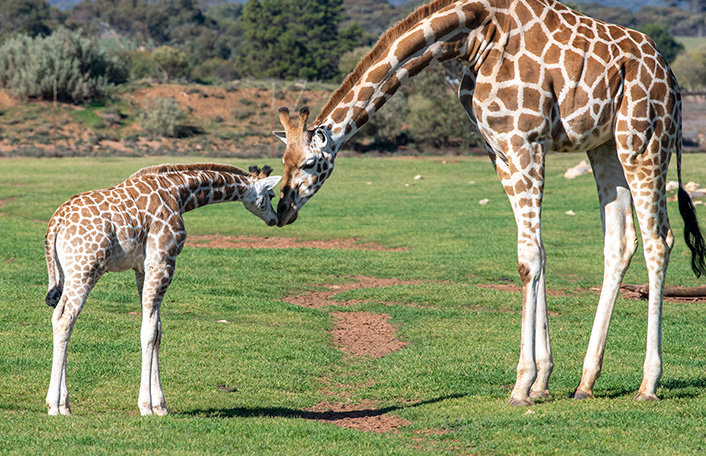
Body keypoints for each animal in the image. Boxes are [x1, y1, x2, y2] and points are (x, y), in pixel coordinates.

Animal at [44, 163, 281, 415]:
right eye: (271, 195)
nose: (275, 219)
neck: (180, 193)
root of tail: (56, 222)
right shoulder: (163, 262)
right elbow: (148, 331)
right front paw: (146, 406)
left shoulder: (142, 269)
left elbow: (157, 329)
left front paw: (160, 405)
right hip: (87, 268)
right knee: (66, 320)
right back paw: (54, 406)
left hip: (70, 272)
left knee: (58, 316)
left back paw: (64, 404)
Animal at [274, 0, 706, 406]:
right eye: (283, 161)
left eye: (310, 163)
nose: (283, 210)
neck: (472, 36)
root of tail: (672, 79)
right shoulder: (498, 149)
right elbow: (537, 253)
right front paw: (542, 382)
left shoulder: (525, 140)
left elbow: (528, 258)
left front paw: (522, 385)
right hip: (604, 145)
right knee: (620, 242)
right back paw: (586, 383)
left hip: (644, 140)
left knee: (659, 240)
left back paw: (648, 385)